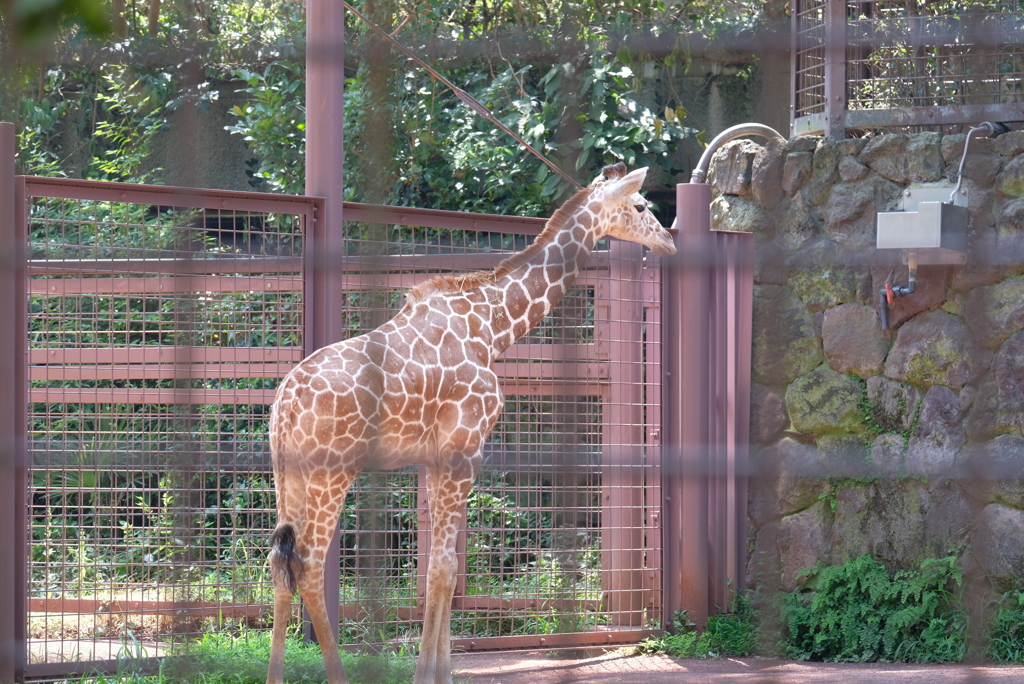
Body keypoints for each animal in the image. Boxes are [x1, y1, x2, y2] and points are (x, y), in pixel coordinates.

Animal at [266, 161, 679, 684]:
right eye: (641, 206)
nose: (669, 242)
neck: (491, 327)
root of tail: (286, 401)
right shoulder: (464, 450)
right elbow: (444, 569)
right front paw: (429, 675)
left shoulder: (436, 459)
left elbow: (443, 566)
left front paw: (441, 671)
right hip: (331, 472)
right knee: (310, 567)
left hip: (289, 475)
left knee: (279, 563)